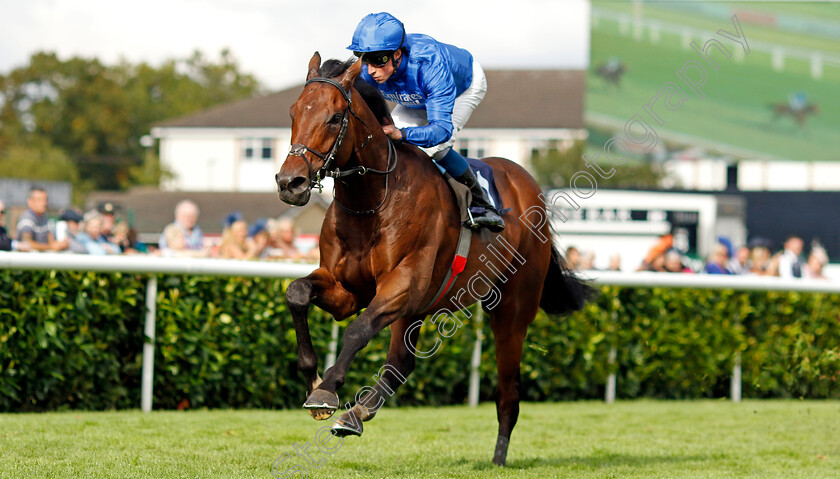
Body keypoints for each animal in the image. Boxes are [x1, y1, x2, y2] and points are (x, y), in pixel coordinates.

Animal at [274, 53, 592, 468]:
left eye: (334, 117)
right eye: (293, 112)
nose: (290, 183)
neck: (372, 199)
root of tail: (529, 184)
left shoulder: (403, 284)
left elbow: (358, 330)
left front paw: (327, 390)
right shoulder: (348, 290)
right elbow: (297, 293)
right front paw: (312, 377)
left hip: (511, 309)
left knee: (508, 391)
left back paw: (498, 457)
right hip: (420, 308)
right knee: (400, 364)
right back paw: (358, 414)